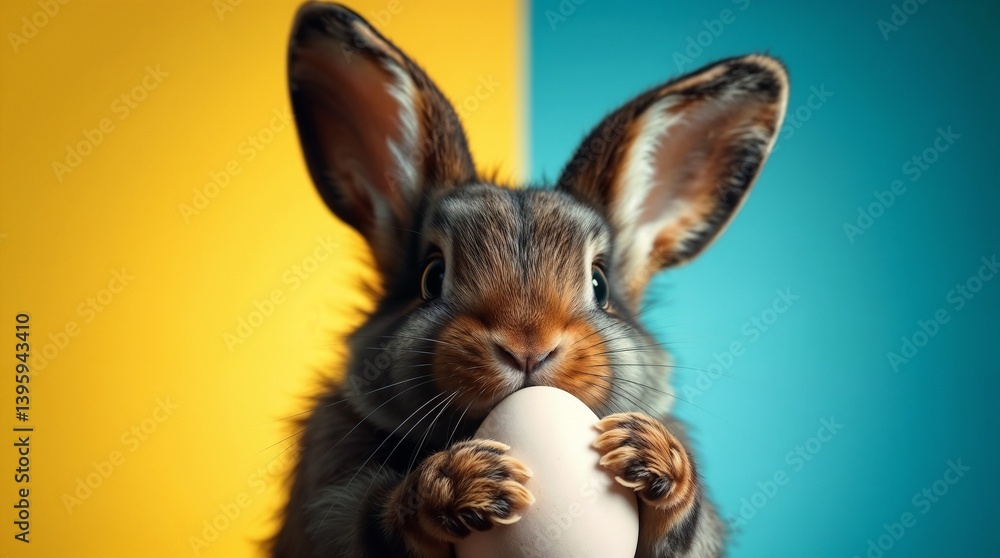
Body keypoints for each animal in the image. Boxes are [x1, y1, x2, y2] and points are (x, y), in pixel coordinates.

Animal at [273, 3, 788, 557]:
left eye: (600, 285)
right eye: (432, 277)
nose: (527, 347)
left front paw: (650, 455)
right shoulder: (330, 501)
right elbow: (371, 521)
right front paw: (465, 483)